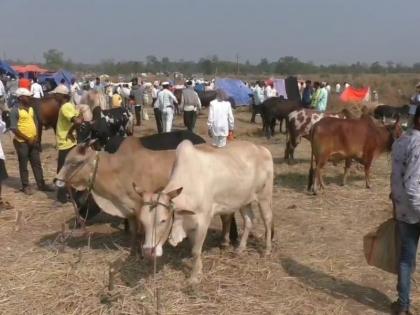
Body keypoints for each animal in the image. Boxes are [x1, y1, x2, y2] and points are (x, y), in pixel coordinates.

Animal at [133, 140, 274, 284]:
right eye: (142, 221)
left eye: (163, 220)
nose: (148, 252)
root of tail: (261, 148)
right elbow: (194, 248)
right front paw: (199, 269)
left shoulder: (203, 221)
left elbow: (196, 250)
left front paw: (194, 277)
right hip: (244, 201)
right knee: (249, 220)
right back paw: (240, 248)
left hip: (264, 196)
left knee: (267, 219)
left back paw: (267, 249)